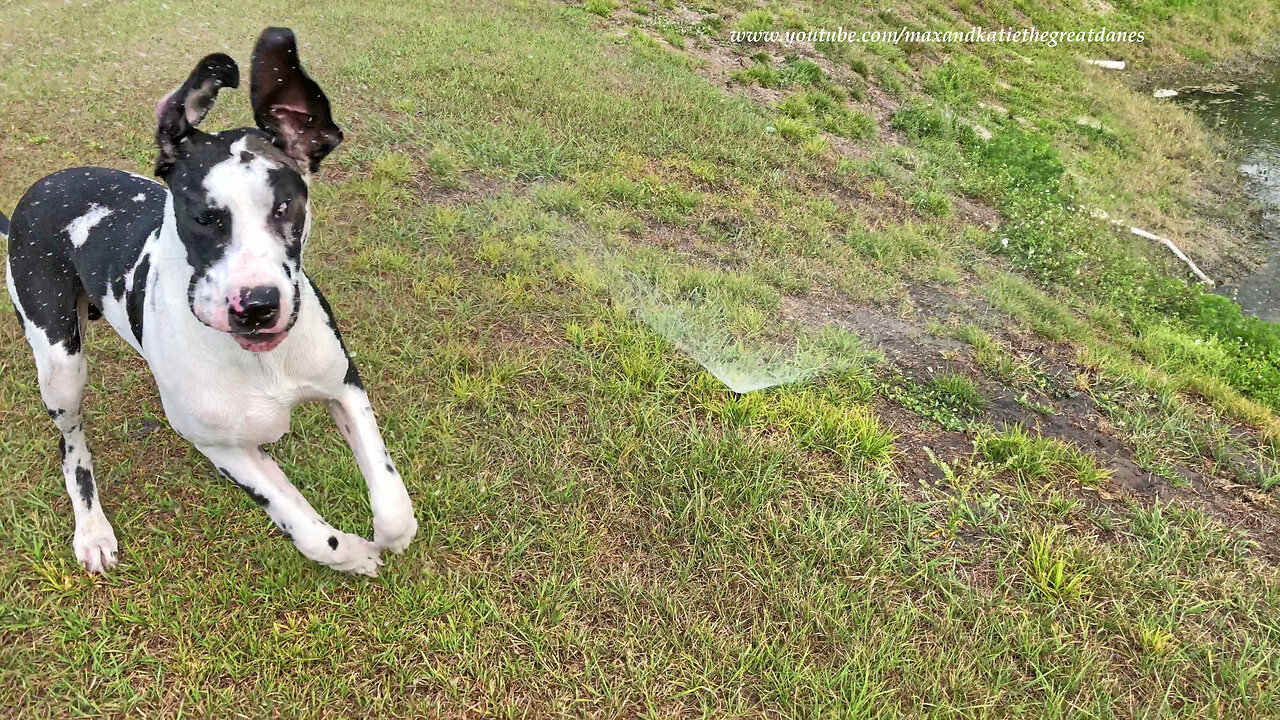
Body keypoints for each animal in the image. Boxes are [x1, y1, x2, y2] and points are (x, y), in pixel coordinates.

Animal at [0, 28, 414, 573]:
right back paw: (91, 529)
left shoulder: (343, 386)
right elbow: (308, 531)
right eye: (203, 217)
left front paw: (384, 539)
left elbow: (392, 505)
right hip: (60, 365)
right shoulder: (219, 446)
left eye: (286, 206)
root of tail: (40, 189)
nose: (256, 306)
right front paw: (353, 555)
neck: (262, 363)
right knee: (72, 448)